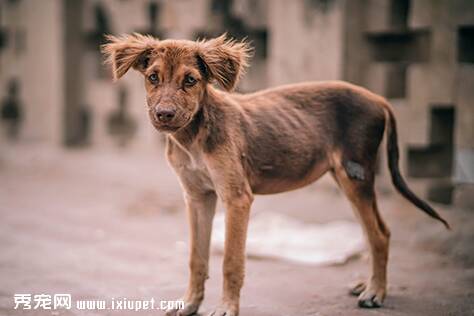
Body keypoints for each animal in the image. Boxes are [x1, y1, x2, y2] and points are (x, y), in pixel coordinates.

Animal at [102, 33, 450, 314]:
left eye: (190, 81)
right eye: (153, 77)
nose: (164, 115)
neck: (194, 137)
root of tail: (378, 98)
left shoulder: (237, 198)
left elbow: (231, 261)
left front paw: (226, 308)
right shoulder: (197, 197)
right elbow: (196, 257)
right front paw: (190, 303)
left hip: (356, 174)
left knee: (380, 233)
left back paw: (376, 292)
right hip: (346, 178)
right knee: (372, 230)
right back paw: (368, 284)